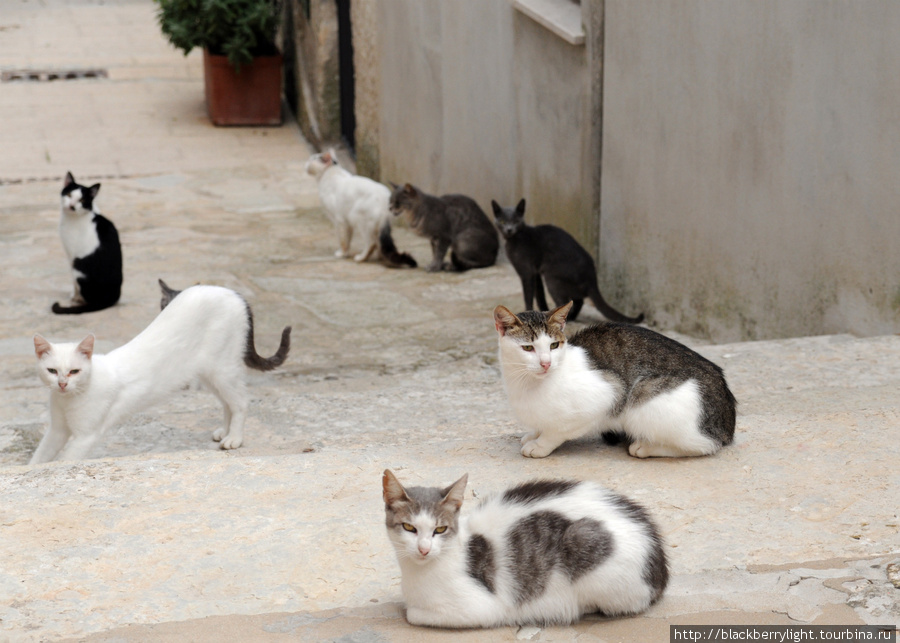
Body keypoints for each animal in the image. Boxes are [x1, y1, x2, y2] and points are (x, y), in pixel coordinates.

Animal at [29, 280, 290, 462]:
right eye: (52, 371)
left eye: (74, 371)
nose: (62, 384)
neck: (68, 399)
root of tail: (232, 293)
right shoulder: (57, 430)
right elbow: (40, 458)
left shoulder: (85, 436)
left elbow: (65, 461)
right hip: (210, 373)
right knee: (228, 402)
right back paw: (224, 432)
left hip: (223, 369)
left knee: (241, 401)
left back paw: (234, 438)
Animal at [53, 170, 123, 314]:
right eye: (69, 195)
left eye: (82, 200)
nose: (72, 206)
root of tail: (110, 299)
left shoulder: (71, 255)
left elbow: (74, 284)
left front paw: (73, 297)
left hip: (78, 266)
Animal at [382, 468, 668, 628]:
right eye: (409, 528)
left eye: (440, 530)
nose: (424, 549)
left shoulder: (483, 607)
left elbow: (413, 613)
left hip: (587, 547)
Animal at [488, 199, 644, 324]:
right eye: (502, 221)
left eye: (516, 221)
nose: (509, 229)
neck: (514, 239)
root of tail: (593, 280)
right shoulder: (536, 273)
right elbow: (539, 294)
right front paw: (542, 312)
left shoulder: (527, 272)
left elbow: (528, 295)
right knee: (578, 300)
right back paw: (570, 317)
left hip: (552, 278)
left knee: (567, 301)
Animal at [496, 302, 736, 458]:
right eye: (528, 348)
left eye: (554, 345)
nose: (546, 363)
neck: (525, 383)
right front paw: (533, 435)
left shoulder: (609, 391)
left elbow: (557, 431)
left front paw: (539, 445)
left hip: (643, 398)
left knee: (705, 445)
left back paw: (645, 447)